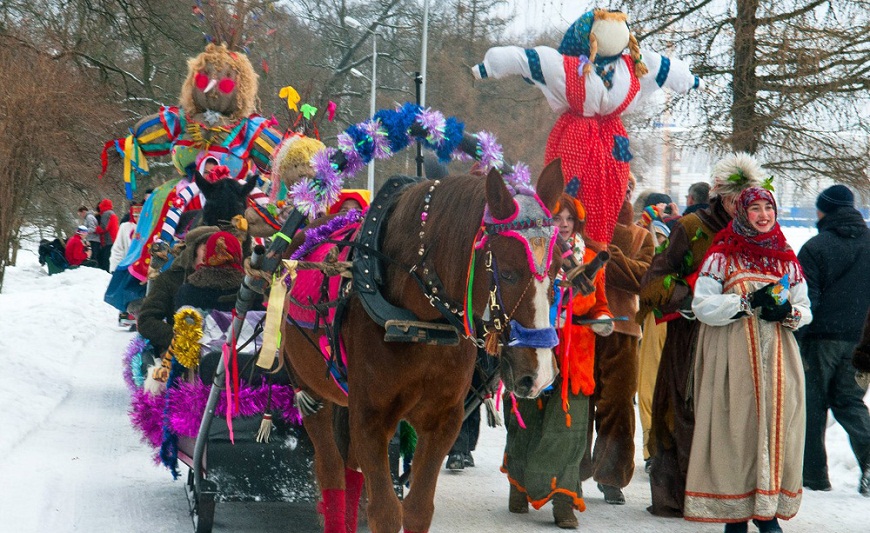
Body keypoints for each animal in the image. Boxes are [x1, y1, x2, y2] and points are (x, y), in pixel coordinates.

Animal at [280, 162, 564, 532]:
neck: (423, 325)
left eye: (558, 269)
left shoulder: (442, 421)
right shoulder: (370, 418)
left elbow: (417, 509)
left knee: (350, 471)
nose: (540, 374)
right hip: (310, 392)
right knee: (330, 472)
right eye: (509, 273)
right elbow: (385, 511)